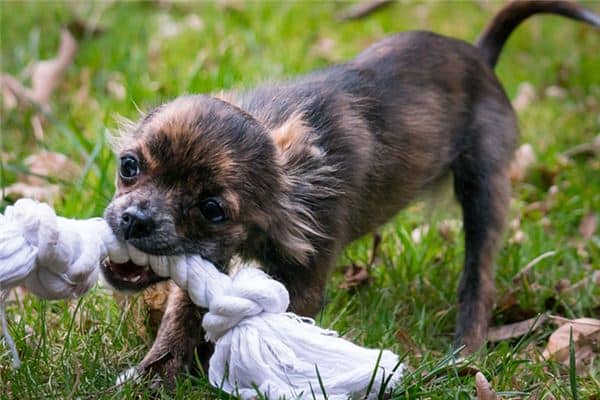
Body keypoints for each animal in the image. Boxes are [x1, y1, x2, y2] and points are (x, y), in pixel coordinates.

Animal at [102, 0, 600, 388]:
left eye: (212, 209)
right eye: (129, 166)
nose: (134, 220)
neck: (295, 183)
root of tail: (480, 55)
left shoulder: (304, 280)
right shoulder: (208, 262)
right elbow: (180, 316)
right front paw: (153, 376)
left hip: (485, 187)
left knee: (479, 275)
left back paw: (465, 349)